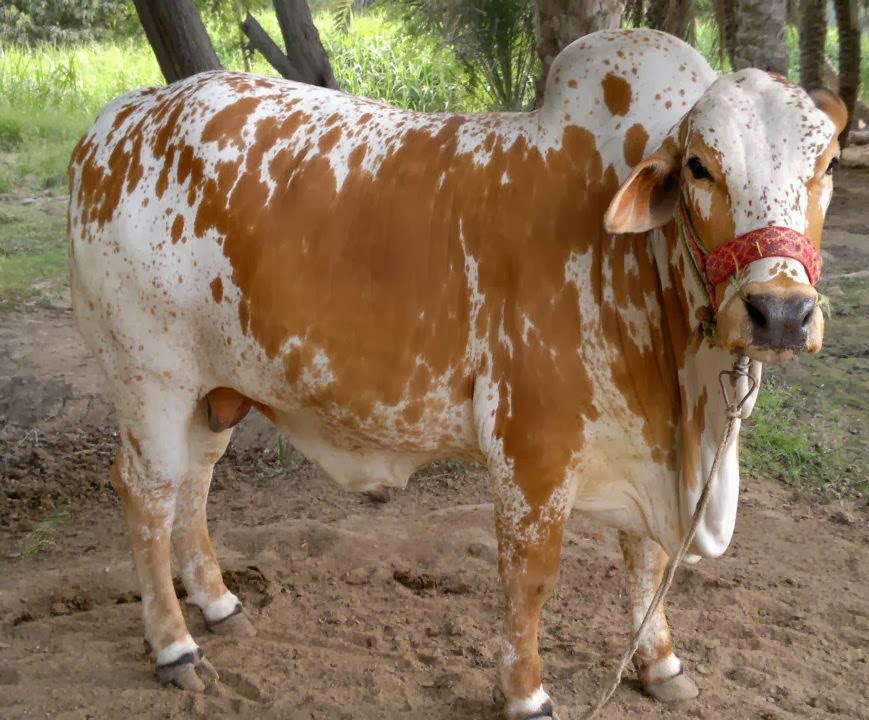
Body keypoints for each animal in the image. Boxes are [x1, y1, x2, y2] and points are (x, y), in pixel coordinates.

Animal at [68, 29, 840, 720]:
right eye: (700, 168)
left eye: (827, 164)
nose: (779, 312)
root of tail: (121, 119)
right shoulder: (532, 447)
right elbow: (531, 578)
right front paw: (527, 694)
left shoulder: (648, 445)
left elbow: (647, 561)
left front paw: (660, 663)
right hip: (150, 378)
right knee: (147, 494)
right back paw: (174, 645)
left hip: (212, 390)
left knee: (194, 486)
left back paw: (220, 603)